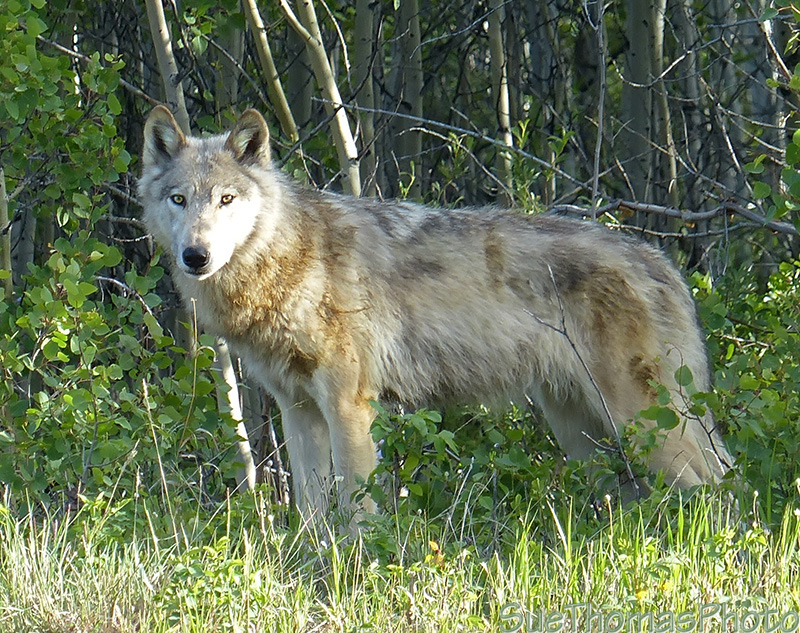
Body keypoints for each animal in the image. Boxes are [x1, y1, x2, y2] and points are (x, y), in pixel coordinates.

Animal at [139, 106, 732, 518]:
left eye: (226, 200)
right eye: (178, 199)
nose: (196, 256)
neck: (284, 262)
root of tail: (659, 262)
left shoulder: (350, 406)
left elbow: (357, 513)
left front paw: (359, 574)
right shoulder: (298, 410)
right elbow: (310, 513)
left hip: (645, 426)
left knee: (719, 487)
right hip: (584, 434)